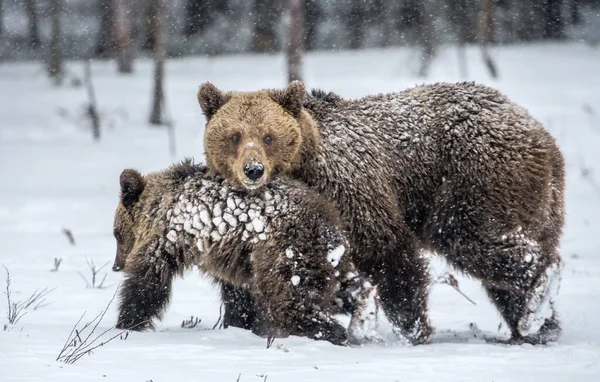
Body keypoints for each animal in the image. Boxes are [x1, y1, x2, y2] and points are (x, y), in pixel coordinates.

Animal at [110, 160, 378, 344]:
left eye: (116, 234)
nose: (116, 265)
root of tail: (327, 225)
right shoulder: (234, 255)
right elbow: (238, 296)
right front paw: (240, 323)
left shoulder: (171, 236)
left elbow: (147, 281)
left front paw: (126, 323)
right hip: (323, 261)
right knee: (342, 289)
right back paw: (363, 310)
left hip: (286, 253)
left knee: (292, 302)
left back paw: (327, 332)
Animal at [198, 81, 568, 346]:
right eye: (234, 135)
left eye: (268, 136)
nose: (253, 170)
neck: (302, 170)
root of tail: (536, 128)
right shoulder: (266, 222)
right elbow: (254, 279)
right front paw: (242, 320)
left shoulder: (349, 194)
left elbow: (390, 256)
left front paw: (413, 328)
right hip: (533, 200)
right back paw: (535, 325)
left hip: (475, 176)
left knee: (470, 236)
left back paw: (538, 294)